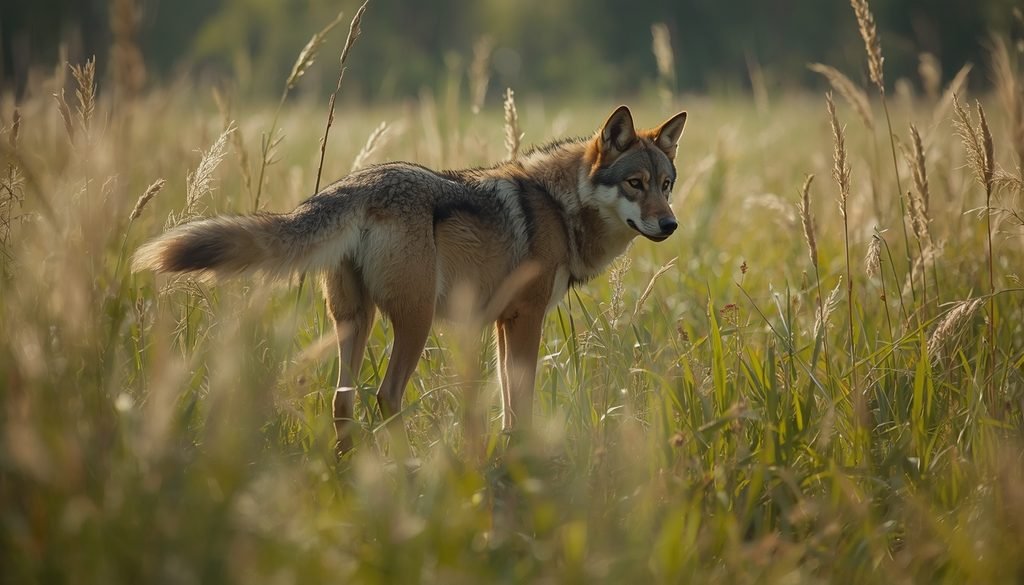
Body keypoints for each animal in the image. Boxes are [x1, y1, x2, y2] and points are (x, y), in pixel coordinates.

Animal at [133, 105, 686, 453]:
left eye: (666, 184)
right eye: (635, 184)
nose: (670, 225)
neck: (558, 206)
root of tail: (358, 183)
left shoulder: (502, 324)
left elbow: (508, 401)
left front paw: (509, 449)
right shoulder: (526, 319)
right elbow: (523, 399)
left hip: (354, 322)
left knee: (342, 401)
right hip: (414, 323)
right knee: (385, 397)